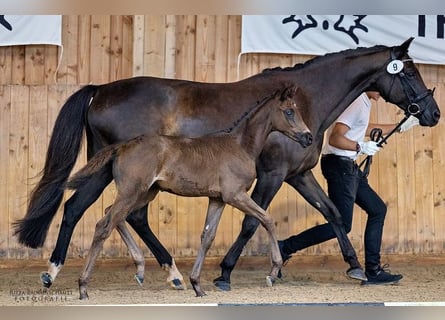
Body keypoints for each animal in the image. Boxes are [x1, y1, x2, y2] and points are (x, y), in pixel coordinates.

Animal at [13, 37, 438, 290]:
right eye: (409, 71)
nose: (432, 113)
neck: (305, 100)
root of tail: (100, 90)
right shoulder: (271, 176)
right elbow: (253, 222)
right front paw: (227, 273)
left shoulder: (299, 175)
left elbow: (333, 213)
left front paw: (358, 268)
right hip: (120, 173)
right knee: (96, 211)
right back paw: (63, 271)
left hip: (116, 172)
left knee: (95, 211)